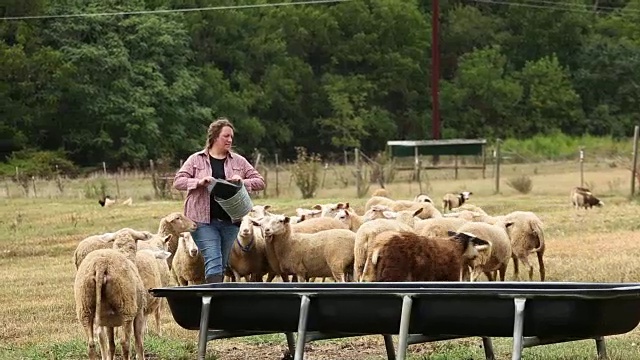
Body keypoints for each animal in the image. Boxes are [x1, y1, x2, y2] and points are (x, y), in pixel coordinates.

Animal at [362, 229, 492, 282]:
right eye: (474, 243)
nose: (476, 255)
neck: (456, 246)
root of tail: (379, 245)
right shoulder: (451, 276)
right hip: (393, 275)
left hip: (370, 274)